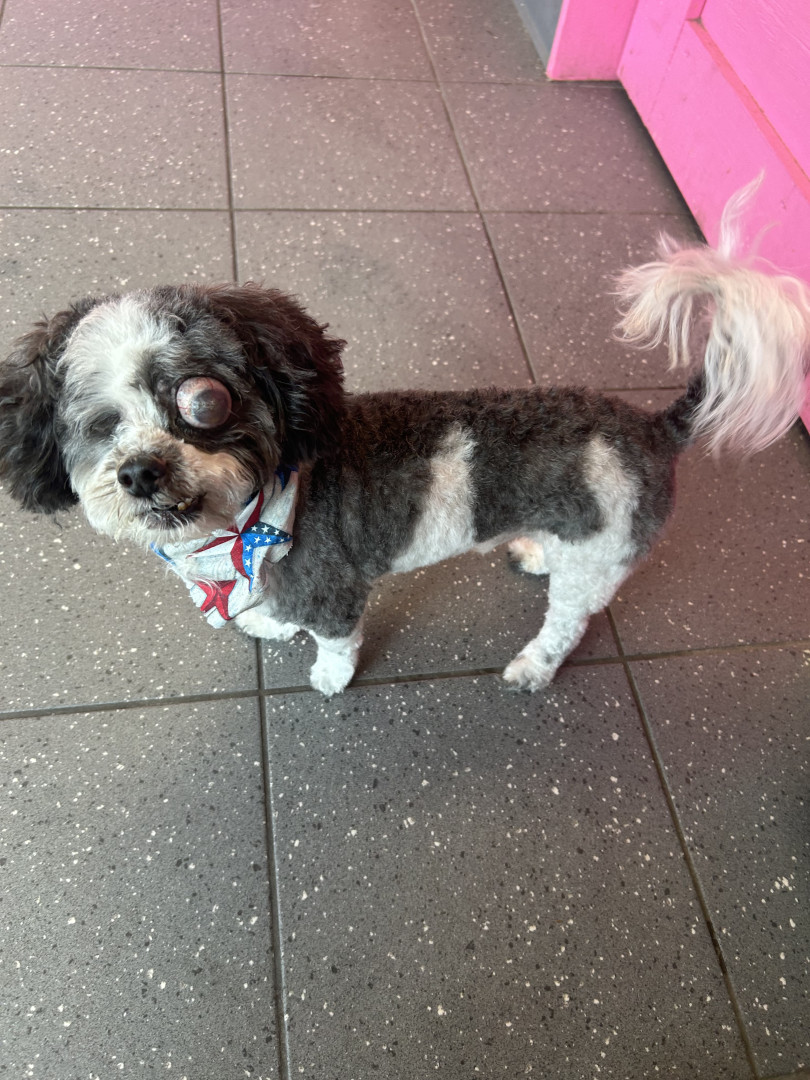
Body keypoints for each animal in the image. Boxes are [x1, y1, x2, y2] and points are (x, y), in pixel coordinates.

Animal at [1, 191, 808, 697]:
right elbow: (274, 610)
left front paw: (328, 678)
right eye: (99, 424)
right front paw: (267, 620)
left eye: (203, 403)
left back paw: (534, 666)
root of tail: (651, 426)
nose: (141, 471)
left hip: (602, 559)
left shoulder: (334, 589)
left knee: (569, 622)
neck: (244, 525)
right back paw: (534, 551)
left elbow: (335, 640)